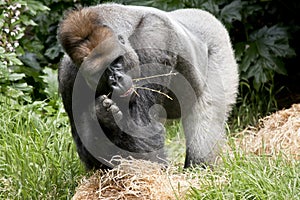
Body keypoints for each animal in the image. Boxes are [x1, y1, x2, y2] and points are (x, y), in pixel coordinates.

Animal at [57, 3, 238, 170]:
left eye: (116, 61)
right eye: (98, 72)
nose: (116, 80)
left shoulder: (155, 39)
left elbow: (145, 135)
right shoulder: (67, 77)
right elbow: (90, 153)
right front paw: (103, 117)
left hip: (217, 41)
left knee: (206, 123)